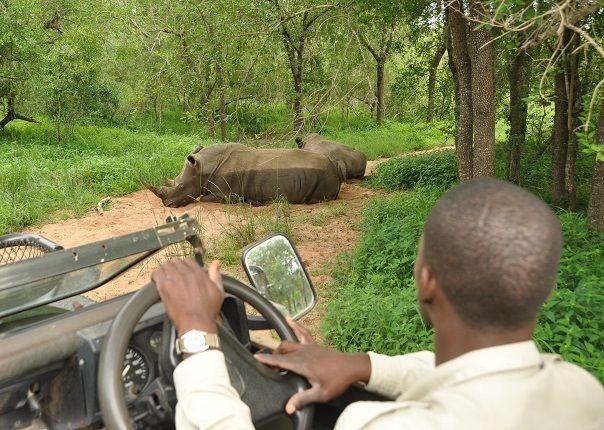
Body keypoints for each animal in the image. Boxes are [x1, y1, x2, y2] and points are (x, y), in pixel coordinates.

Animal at [149, 144, 342, 207]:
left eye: (182, 186)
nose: (167, 205)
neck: (204, 167)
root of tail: (335, 167)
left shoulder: (227, 194)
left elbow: (203, 198)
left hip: (324, 175)